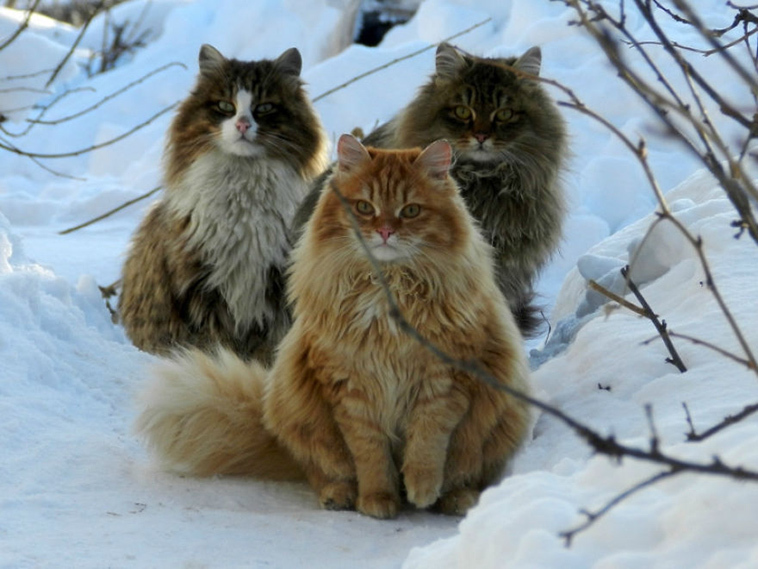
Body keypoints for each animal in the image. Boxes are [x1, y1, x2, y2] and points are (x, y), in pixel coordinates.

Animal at [120, 45, 328, 364]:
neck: (245, 194)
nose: (242, 124)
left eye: (264, 108)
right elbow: (217, 342)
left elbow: (270, 343)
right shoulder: (202, 286)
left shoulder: (276, 282)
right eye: (224, 106)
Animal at [134, 135, 532, 516]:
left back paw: (454, 500)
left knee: (467, 474)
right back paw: (339, 497)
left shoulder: (444, 379)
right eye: (365, 207)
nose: (384, 231)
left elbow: (427, 442)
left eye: (411, 211)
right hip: (302, 415)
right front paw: (378, 501)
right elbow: (370, 455)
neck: (388, 291)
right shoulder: (351, 388)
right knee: (324, 473)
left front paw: (420, 490)